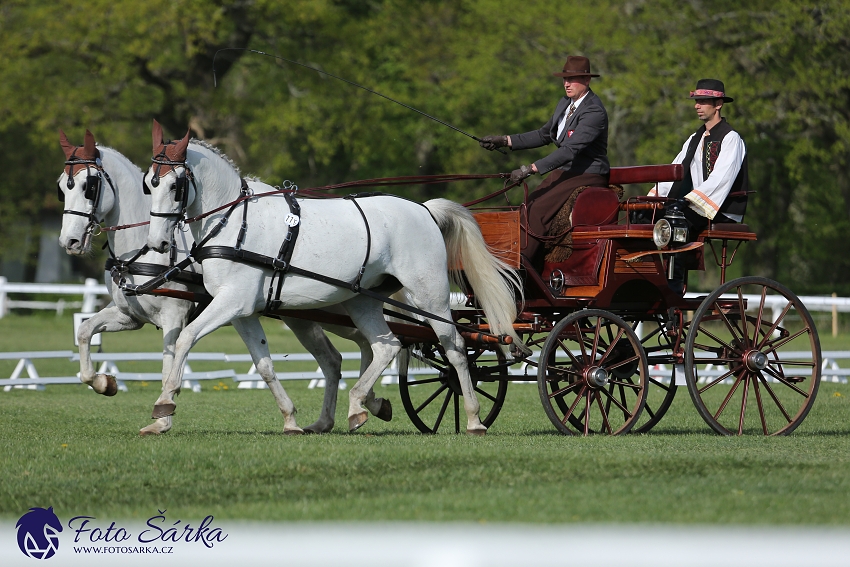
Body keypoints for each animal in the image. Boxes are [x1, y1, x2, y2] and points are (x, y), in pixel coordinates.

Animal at [58, 131, 390, 438]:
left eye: (89, 186)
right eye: (62, 187)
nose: (69, 242)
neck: (142, 247)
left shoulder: (175, 315)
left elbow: (169, 362)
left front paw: (162, 417)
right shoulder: (129, 316)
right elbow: (84, 331)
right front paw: (103, 383)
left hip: (336, 312)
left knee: (376, 344)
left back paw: (366, 402)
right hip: (306, 316)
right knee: (343, 355)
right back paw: (354, 409)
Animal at [142, 121, 520, 434]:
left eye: (176, 186)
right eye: (149, 184)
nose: (157, 242)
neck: (234, 221)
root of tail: (424, 209)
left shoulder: (232, 302)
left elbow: (185, 338)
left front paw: (165, 404)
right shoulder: (242, 310)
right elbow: (263, 365)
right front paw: (290, 419)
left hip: (431, 297)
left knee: (453, 347)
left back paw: (473, 418)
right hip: (362, 300)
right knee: (385, 345)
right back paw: (358, 406)